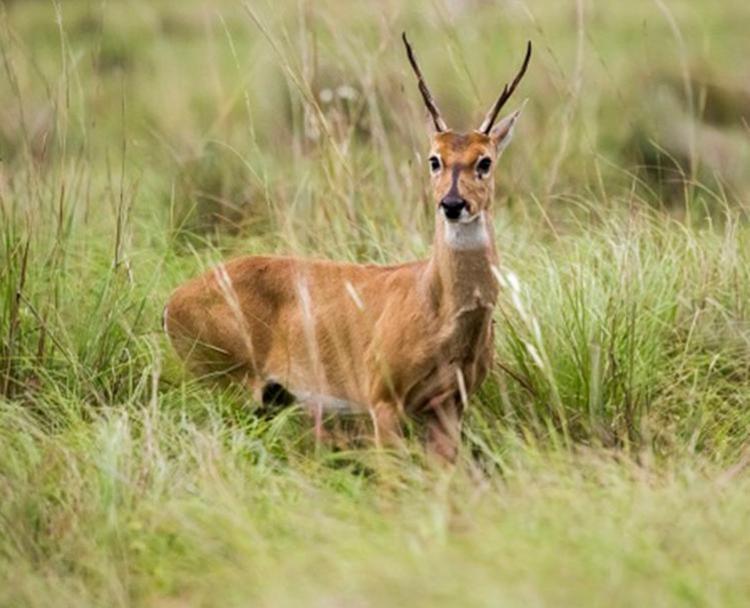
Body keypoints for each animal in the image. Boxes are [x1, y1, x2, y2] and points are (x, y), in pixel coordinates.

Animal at [164, 34, 532, 460]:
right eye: (434, 159)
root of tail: (172, 301)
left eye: (484, 161)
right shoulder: (382, 400)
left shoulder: (449, 405)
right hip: (228, 385)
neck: (436, 307)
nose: (453, 204)